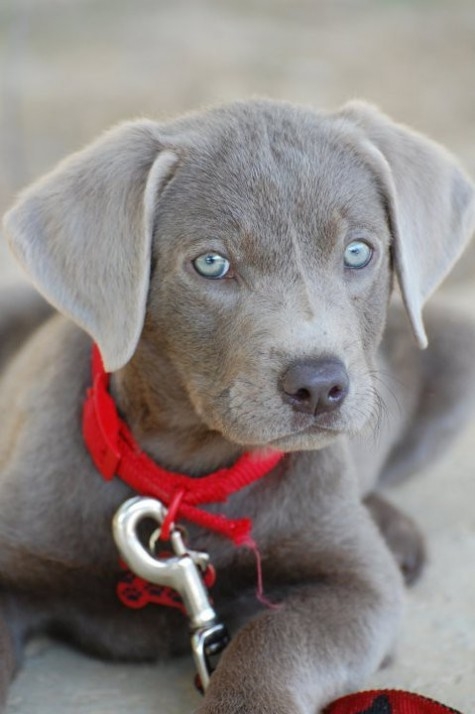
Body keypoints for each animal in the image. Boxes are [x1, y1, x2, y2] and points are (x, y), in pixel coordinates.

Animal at [0, 101, 475, 712]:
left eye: (357, 252)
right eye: (211, 263)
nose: (318, 385)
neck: (188, 476)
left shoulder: (358, 585)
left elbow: (272, 639)